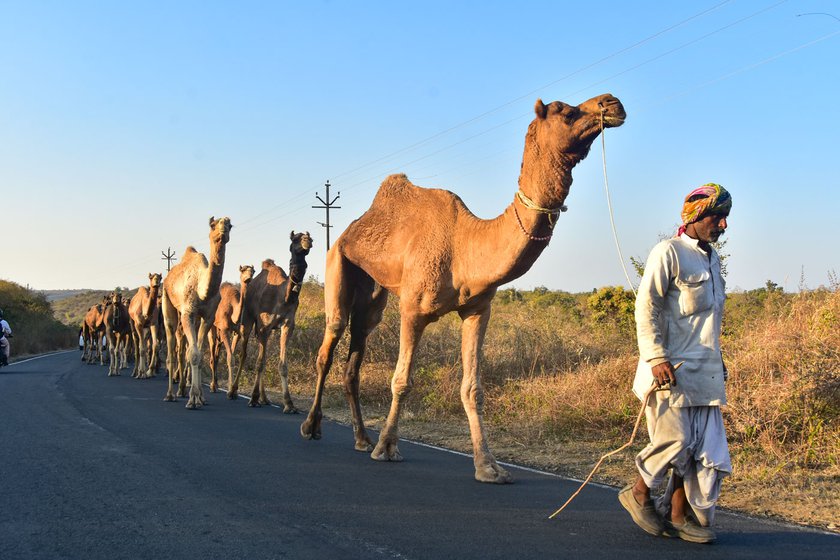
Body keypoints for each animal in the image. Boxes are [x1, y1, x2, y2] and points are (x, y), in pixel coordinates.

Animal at [161, 215, 231, 406]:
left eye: (230, 225)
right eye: (213, 225)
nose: (223, 229)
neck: (202, 291)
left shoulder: (207, 317)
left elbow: (199, 357)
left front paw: (200, 397)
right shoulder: (188, 313)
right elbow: (193, 354)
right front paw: (192, 399)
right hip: (167, 301)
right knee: (171, 349)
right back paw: (170, 394)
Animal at [206, 266, 254, 394]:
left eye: (253, 271)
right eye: (242, 270)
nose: (248, 278)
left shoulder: (237, 332)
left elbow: (235, 356)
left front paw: (233, 390)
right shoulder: (224, 329)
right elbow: (230, 357)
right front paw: (229, 390)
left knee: (217, 354)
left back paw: (216, 383)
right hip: (212, 327)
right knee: (212, 354)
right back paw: (212, 386)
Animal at [231, 231, 314, 412]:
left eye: (309, 236)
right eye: (295, 239)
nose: (308, 241)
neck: (283, 297)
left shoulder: (287, 326)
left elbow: (282, 365)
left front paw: (289, 404)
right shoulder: (264, 326)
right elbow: (259, 362)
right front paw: (253, 398)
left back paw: (265, 398)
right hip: (247, 320)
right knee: (243, 353)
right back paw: (233, 391)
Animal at [300, 94, 624, 484]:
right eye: (566, 111)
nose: (612, 103)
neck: (465, 245)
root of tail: (347, 232)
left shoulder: (478, 309)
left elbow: (473, 389)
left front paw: (489, 466)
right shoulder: (412, 309)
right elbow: (402, 380)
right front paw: (388, 447)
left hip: (373, 294)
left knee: (357, 348)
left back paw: (362, 438)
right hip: (338, 263)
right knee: (329, 342)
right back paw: (312, 426)